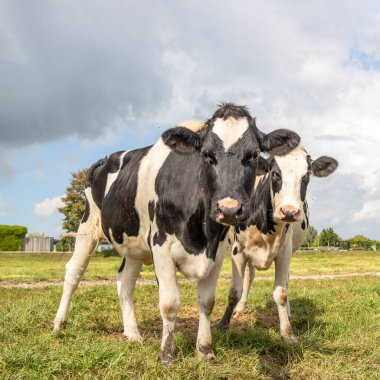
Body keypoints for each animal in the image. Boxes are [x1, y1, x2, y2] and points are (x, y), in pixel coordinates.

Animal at [52, 103, 300, 362]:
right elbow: (170, 303)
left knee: (125, 281)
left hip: (133, 245)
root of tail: (105, 158)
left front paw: (205, 350)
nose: (229, 208)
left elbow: (207, 302)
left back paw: (132, 333)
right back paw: (59, 323)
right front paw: (167, 353)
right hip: (89, 225)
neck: (201, 236)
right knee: (74, 271)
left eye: (253, 155)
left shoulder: (218, 250)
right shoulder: (161, 245)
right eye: (206, 155)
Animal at [217, 145, 338, 342]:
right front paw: (223, 324)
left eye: (306, 175)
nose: (289, 212)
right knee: (248, 277)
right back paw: (240, 308)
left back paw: (287, 311)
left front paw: (287, 332)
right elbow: (234, 291)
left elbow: (281, 292)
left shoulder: (284, 253)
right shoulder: (238, 251)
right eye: (274, 173)